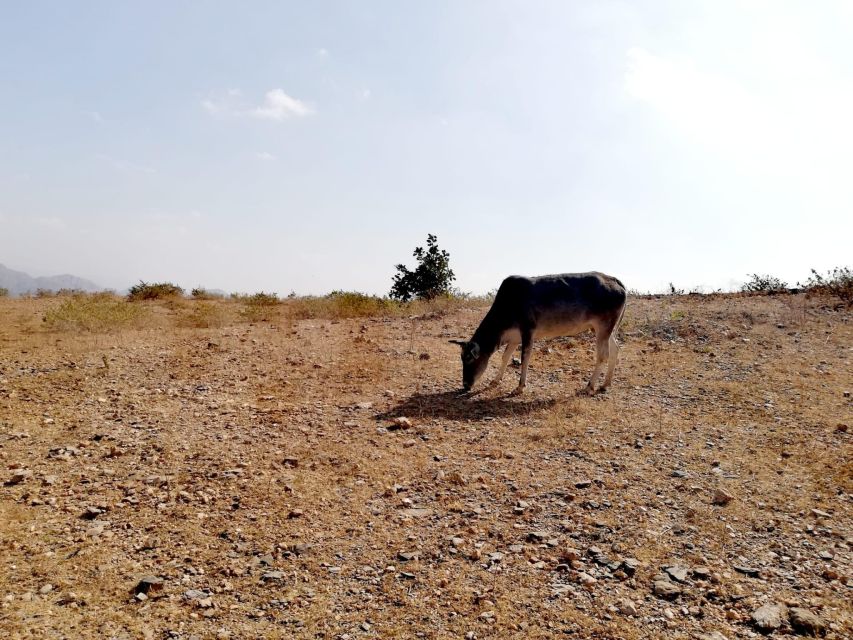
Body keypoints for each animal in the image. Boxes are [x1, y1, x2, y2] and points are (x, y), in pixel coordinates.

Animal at [450, 274, 628, 396]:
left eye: (470, 358)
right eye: (461, 358)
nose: (465, 384)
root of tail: (617, 282)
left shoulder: (528, 330)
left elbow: (525, 357)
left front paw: (519, 387)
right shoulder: (514, 337)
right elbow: (505, 357)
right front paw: (496, 379)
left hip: (603, 326)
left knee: (603, 355)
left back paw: (589, 386)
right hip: (607, 328)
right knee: (616, 348)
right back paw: (605, 384)